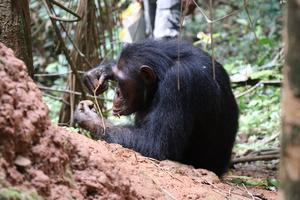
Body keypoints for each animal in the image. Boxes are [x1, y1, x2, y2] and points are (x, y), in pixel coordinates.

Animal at [75, 39, 239, 177]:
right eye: (117, 80)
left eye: (122, 82)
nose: (117, 93)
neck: (163, 72)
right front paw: (101, 71)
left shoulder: (178, 82)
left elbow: (155, 145)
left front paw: (89, 117)